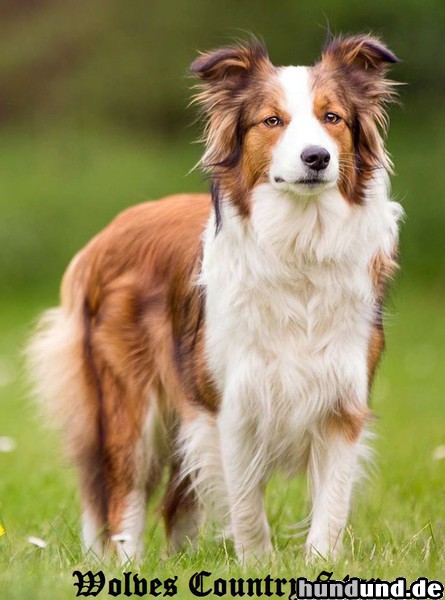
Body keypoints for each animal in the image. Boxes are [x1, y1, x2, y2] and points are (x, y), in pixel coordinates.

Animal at [27, 34, 402, 564]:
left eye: (332, 117)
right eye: (272, 121)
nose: (316, 158)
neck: (299, 243)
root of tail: (109, 232)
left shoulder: (341, 403)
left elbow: (330, 508)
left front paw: (317, 567)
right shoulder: (231, 405)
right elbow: (246, 506)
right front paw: (258, 567)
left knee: (175, 502)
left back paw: (182, 561)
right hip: (129, 403)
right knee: (125, 495)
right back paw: (129, 565)